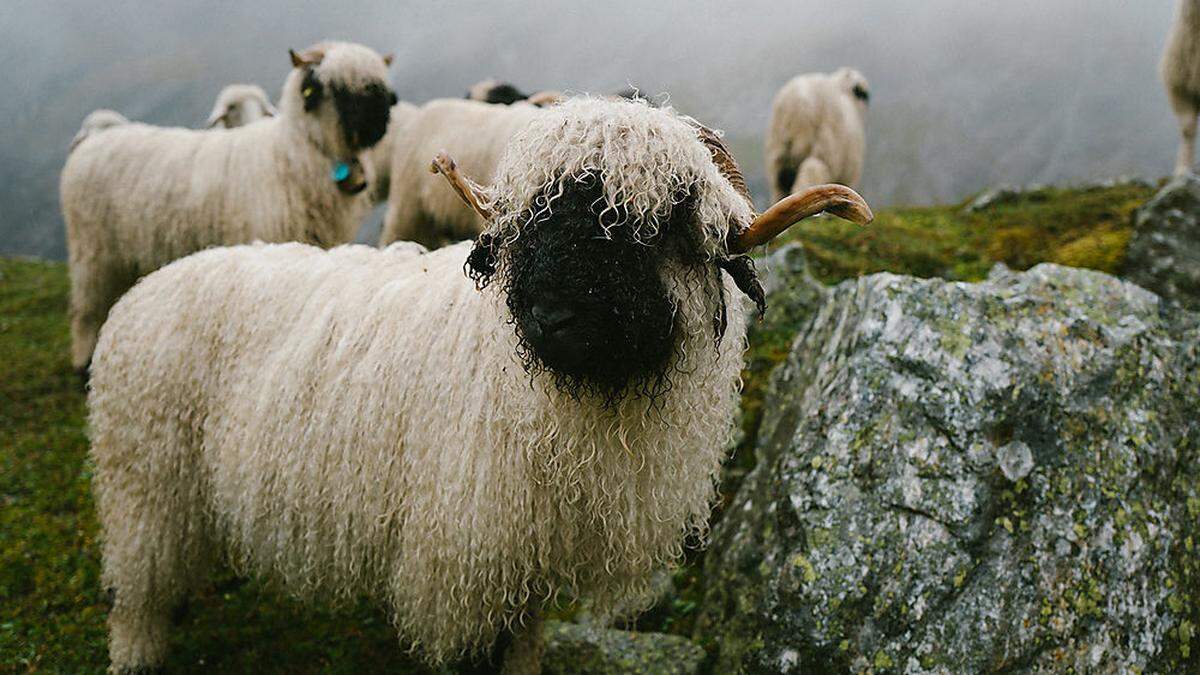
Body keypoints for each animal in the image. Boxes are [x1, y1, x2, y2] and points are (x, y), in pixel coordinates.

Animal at [58, 40, 396, 372]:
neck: (291, 154)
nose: (384, 115)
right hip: (92, 251)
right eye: (338, 87)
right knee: (84, 310)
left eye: (378, 82)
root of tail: (93, 141)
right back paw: (83, 360)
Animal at [768, 66, 873, 200]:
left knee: (779, 188)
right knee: (809, 177)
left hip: (778, 157)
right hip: (823, 152)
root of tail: (799, 101)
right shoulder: (850, 175)